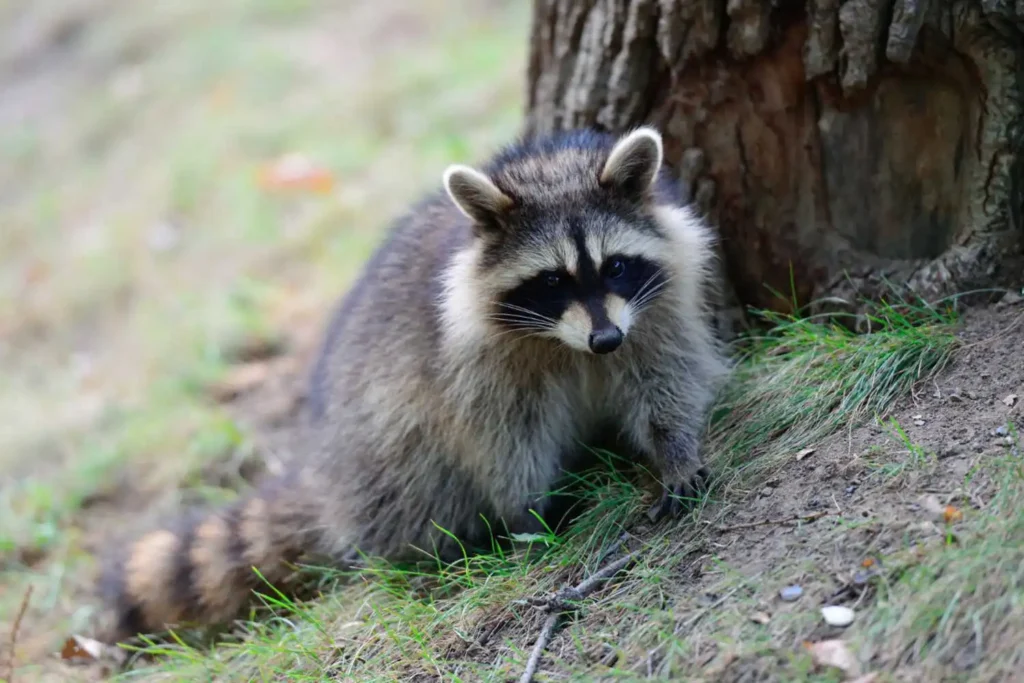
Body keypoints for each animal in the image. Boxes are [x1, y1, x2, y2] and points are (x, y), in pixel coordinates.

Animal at [98, 126, 730, 643]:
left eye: (615, 266)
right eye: (552, 280)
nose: (605, 341)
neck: (567, 343)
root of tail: (326, 475)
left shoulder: (656, 307)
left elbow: (666, 379)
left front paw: (674, 450)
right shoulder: (474, 361)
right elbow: (502, 437)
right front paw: (528, 509)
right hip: (382, 442)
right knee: (417, 477)